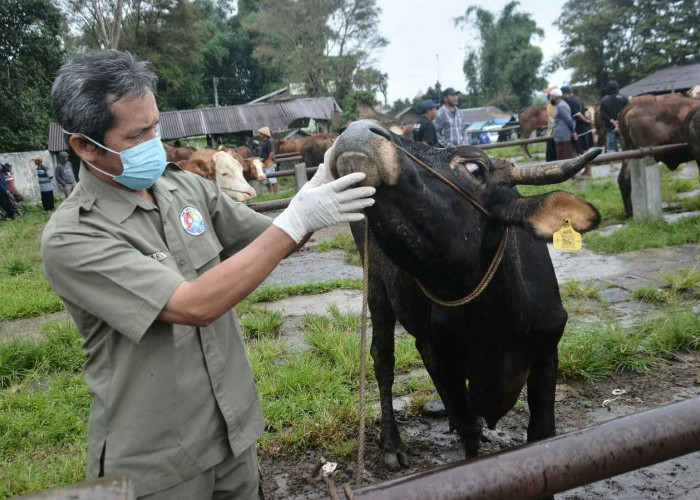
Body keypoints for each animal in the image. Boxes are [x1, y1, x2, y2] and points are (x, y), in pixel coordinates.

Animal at [328, 121, 600, 472]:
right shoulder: (438, 353)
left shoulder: (547, 350)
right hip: (376, 290)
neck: (497, 325)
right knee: (383, 359)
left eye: (475, 169)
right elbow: (469, 429)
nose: (358, 128)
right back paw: (392, 443)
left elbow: (541, 431)